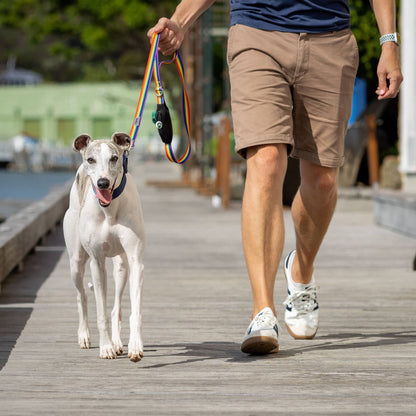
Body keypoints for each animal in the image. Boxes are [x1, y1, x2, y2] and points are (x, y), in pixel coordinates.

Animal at [62, 133, 145, 360]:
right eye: (91, 159)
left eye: (114, 158)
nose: (102, 183)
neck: (109, 210)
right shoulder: (97, 263)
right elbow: (101, 312)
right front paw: (105, 347)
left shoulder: (135, 261)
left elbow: (134, 310)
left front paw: (135, 345)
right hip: (76, 263)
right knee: (81, 296)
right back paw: (84, 335)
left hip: (121, 266)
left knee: (116, 307)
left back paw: (117, 342)